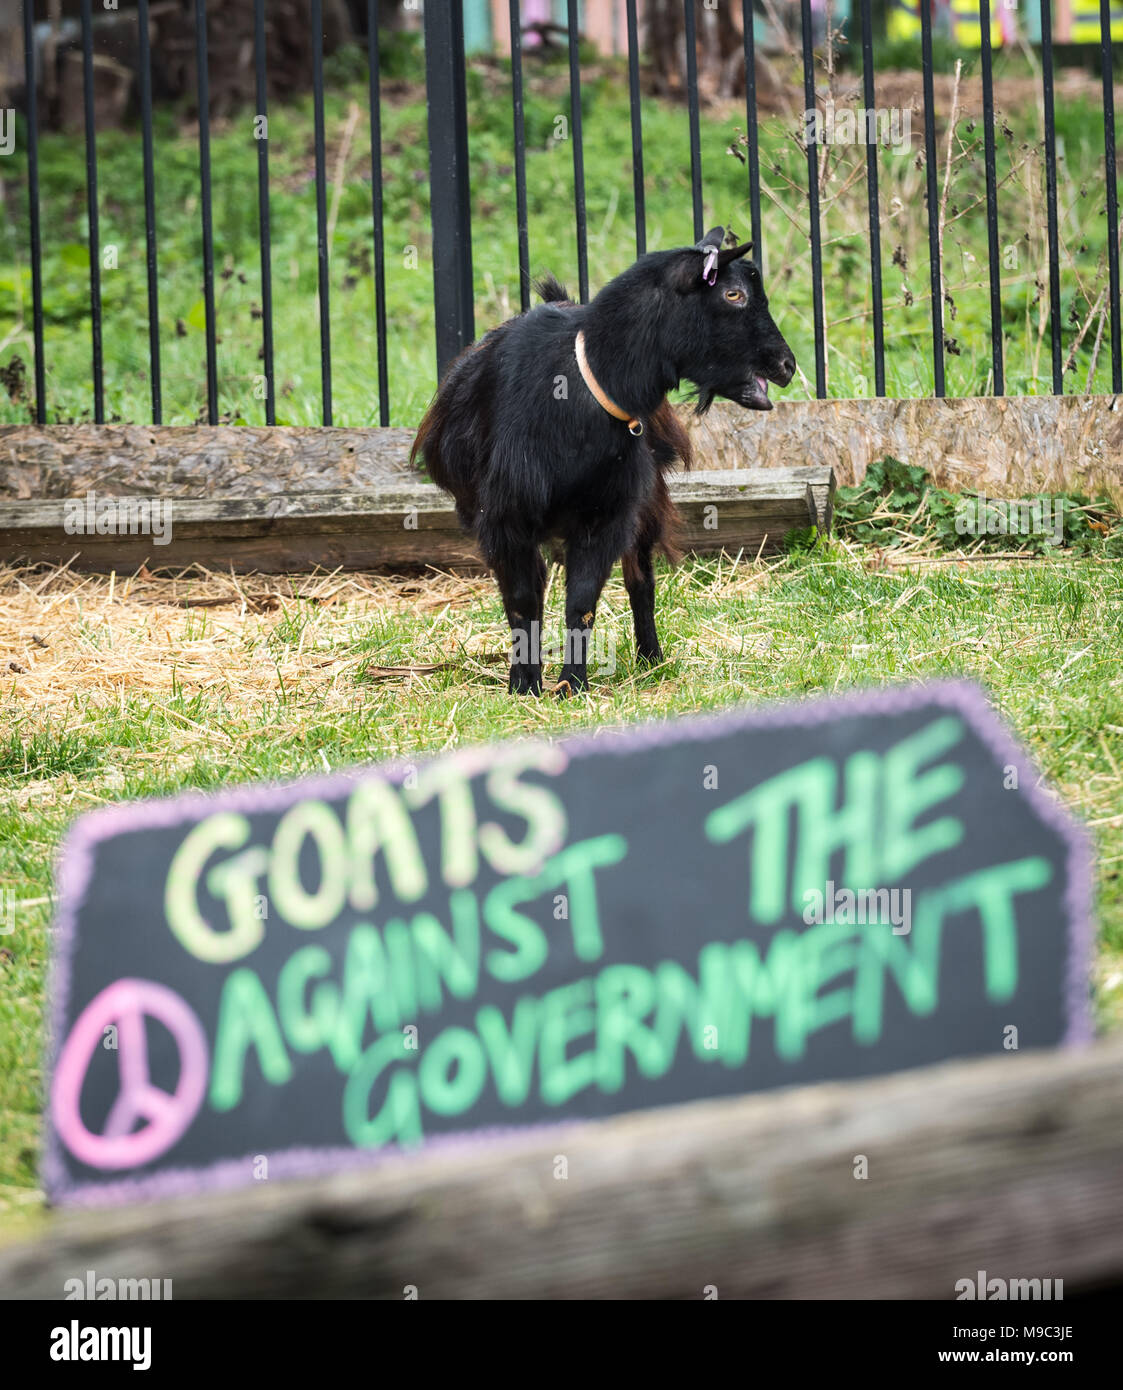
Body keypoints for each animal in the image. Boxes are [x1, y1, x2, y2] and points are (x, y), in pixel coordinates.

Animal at [414, 226, 800, 695]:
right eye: (733, 294)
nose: (787, 365)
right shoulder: (505, 517)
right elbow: (522, 602)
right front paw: (524, 686)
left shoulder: (608, 513)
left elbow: (581, 602)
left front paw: (571, 685)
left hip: (646, 502)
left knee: (640, 580)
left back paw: (651, 658)